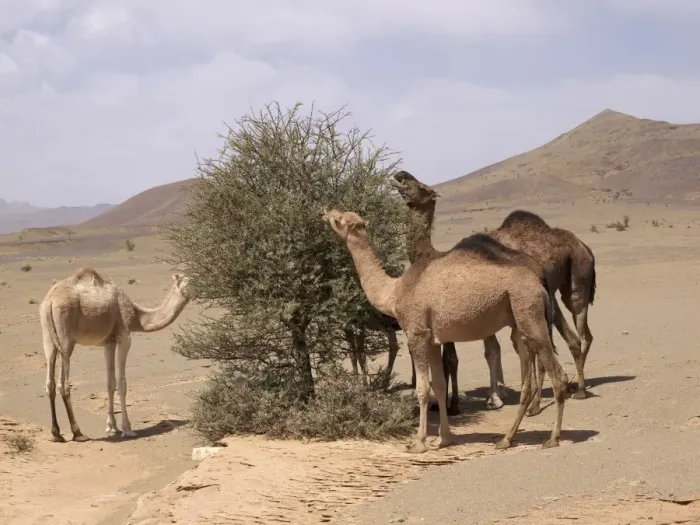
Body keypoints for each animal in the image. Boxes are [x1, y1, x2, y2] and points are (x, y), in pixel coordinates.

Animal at [39, 267, 191, 442]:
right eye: (190, 280)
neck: (137, 316)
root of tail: (50, 301)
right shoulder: (124, 336)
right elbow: (121, 382)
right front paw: (128, 429)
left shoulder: (109, 342)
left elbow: (110, 383)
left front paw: (112, 426)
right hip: (66, 338)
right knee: (63, 384)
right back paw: (78, 433)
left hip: (48, 336)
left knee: (50, 381)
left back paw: (56, 433)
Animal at [322, 208, 568, 453]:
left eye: (339, 219)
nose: (326, 212)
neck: (394, 292)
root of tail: (540, 284)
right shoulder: (432, 340)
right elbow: (439, 386)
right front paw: (445, 438)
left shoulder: (416, 334)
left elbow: (422, 388)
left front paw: (418, 442)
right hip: (519, 320)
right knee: (527, 379)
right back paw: (506, 439)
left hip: (528, 309)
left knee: (558, 374)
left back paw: (553, 438)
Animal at [392, 171, 595, 415]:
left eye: (422, 187)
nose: (400, 175)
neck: (435, 255)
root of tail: (583, 246)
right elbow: (484, 351)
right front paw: (494, 394)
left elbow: (468, 355)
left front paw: (482, 400)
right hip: (552, 296)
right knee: (568, 337)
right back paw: (572, 390)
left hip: (568, 286)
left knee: (563, 330)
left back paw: (547, 401)